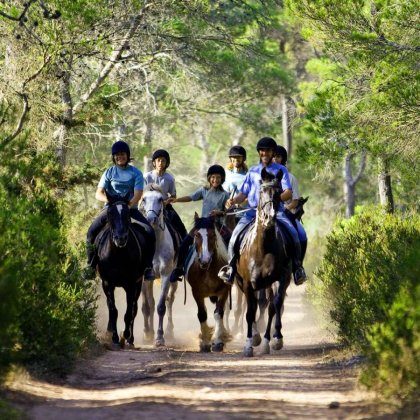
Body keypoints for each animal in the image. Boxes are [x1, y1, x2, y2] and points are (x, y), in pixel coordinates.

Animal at [95, 194, 149, 348]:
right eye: (110, 213)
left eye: (128, 214)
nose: (120, 238)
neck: (118, 254)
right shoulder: (107, 284)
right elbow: (113, 311)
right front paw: (114, 338)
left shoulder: (131, 284)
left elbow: (129, 312)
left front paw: (125, 335)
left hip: (138, 284)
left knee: (134, 309)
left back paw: (130, 339)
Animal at [140, 185, 181, 346]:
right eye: (144, 199)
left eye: (160, 199)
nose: (151, 219)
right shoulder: (145, 277)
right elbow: (147, 306)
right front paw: (147, 334)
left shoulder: (165, 275)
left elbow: (161, 306)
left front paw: (159, 337)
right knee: (150, 303)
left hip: (174, 279)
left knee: (170, 300)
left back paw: (169, 331)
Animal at [185, 213, 231, 352]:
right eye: (196, 235)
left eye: (212, 235)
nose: (204, 260)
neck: (208, 269)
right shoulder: (196, 293)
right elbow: (202, 314)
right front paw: (205, 342)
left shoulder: (224, 291)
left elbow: (218, 313)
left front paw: (217, 341)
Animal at [233, 168, 292, 358]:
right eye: (261, 191)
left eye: (279, 192)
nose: (269, 218)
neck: (263, 248)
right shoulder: (247, 283)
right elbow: (250, 312)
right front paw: (249, 344)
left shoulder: (279, 279)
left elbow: (275, 306)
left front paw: (274, 340)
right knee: (252, 307)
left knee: (268, 305)